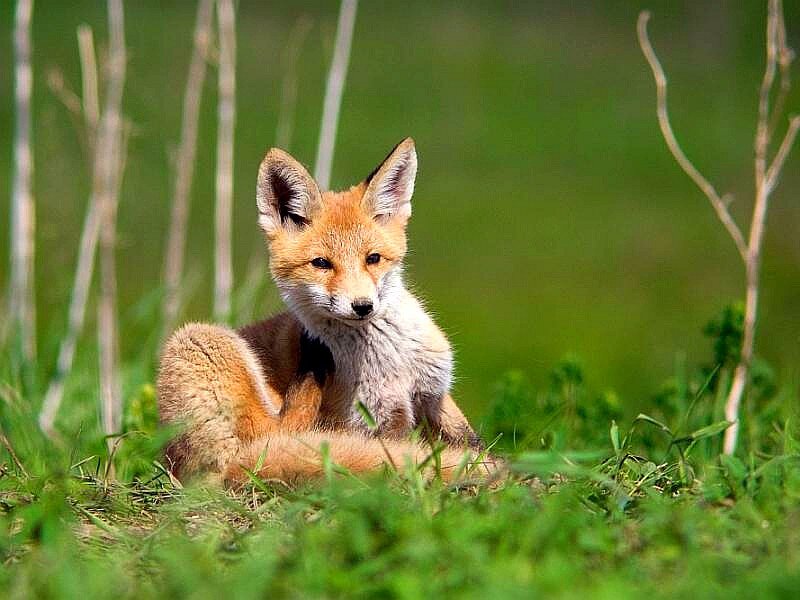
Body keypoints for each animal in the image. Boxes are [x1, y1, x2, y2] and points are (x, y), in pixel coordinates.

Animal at [158, 138, 486, 486]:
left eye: (373, 258)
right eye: (321, 264)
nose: (363, 306)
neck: (390, 362)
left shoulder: (433, 395)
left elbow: (469, 438)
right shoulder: (368, 419)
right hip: (200, 339)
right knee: (278, 432)